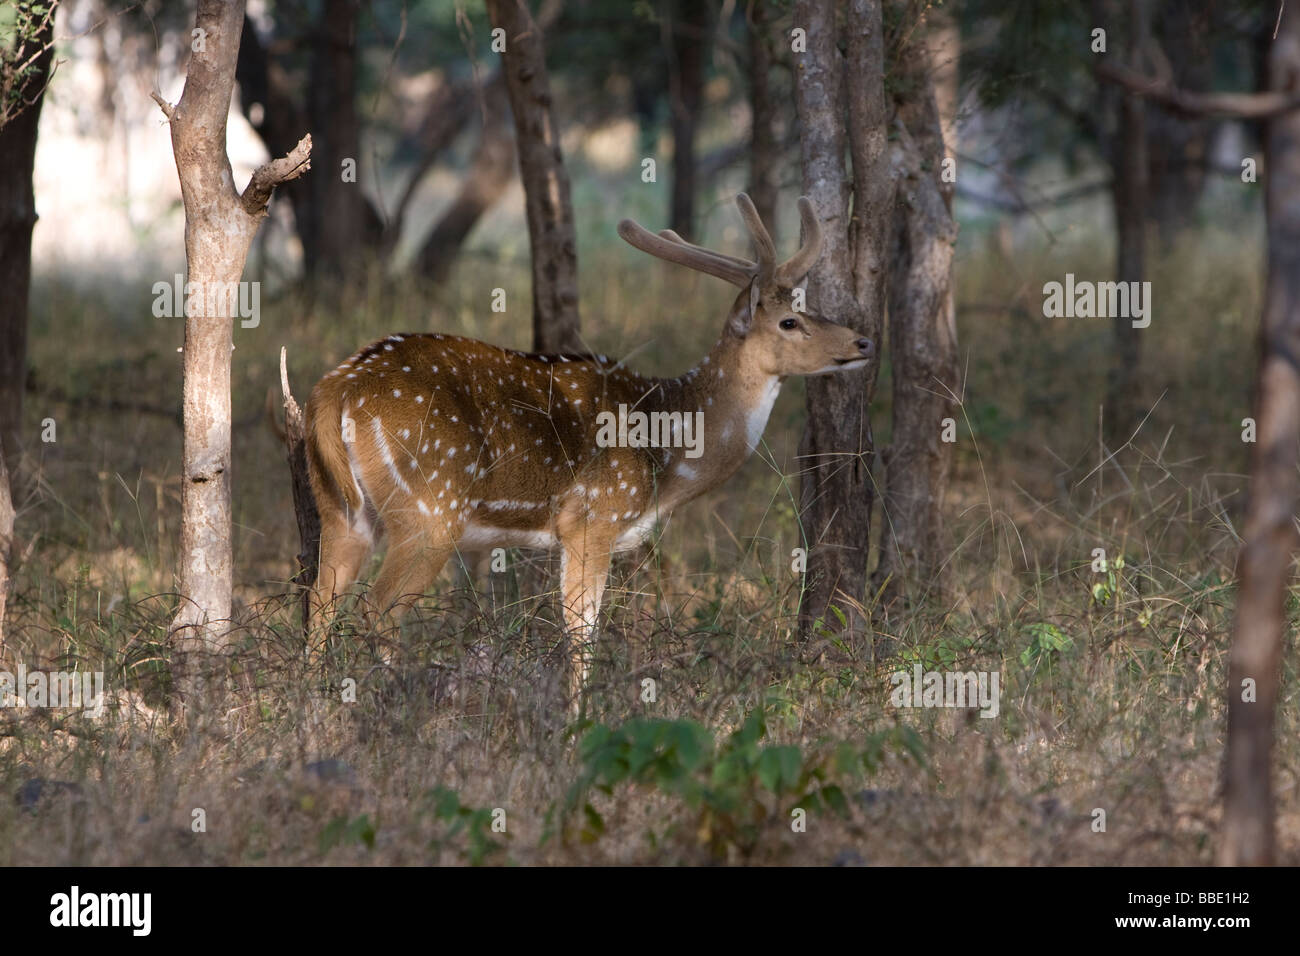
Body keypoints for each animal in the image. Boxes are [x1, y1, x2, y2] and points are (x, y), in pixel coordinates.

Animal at [304, 191, 873, 707]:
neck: (666, 457)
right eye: (790, 321)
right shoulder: (592, 518)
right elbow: (582, 634)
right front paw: (578, 722)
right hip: (429, 508)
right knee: (377, 611)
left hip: (340, 508)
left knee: (318, 605)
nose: (863, 342)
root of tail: (335, 390)